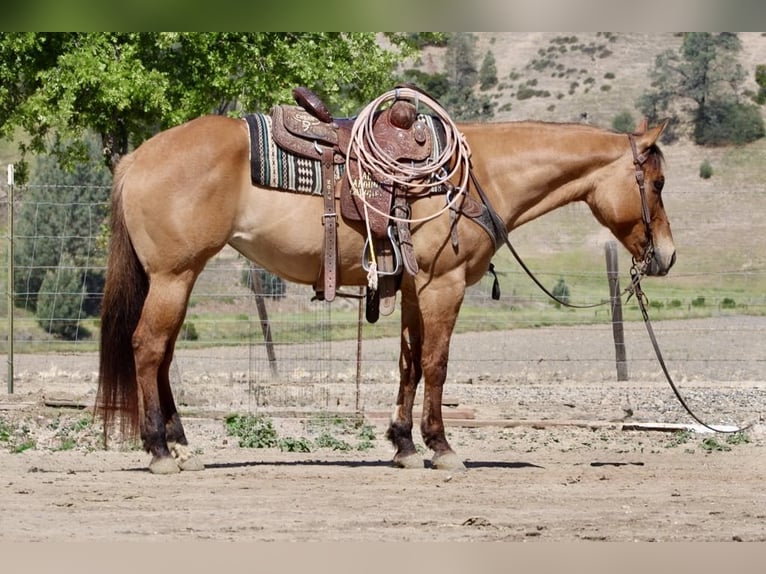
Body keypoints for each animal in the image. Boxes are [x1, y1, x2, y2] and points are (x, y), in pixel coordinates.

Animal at [96, 106, 675, 474]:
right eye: (658, 183)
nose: (666, 256)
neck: (476, 175)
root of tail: (135, 159)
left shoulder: (416, 290)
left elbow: (410, 365)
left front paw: (403, 446)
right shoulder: (444, 286)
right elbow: (437, 365)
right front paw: (442, 447)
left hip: (177, 278)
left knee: (163, 356)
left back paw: (180, 446)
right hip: (174, 276)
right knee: (148, 348)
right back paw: (159, 451)